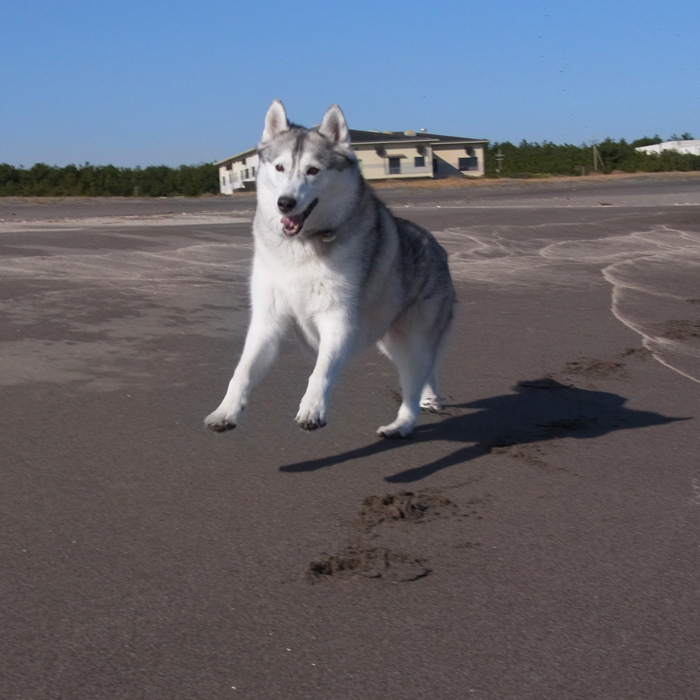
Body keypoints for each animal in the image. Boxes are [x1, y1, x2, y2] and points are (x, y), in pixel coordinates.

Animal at [204, 100, 454, 438]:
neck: (299, 247)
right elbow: (242, 370)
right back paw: (429, 399)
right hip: (388, 340)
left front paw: (312, 408)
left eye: (313, 170)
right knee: (425, 372)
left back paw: (402, 423)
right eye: (280, 168)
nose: (285, 202)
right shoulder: (268, 320)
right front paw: (226, 411)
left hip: (411, 342)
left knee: (414, 383)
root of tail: (439, 249)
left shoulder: (338, 320)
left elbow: (321, 371)